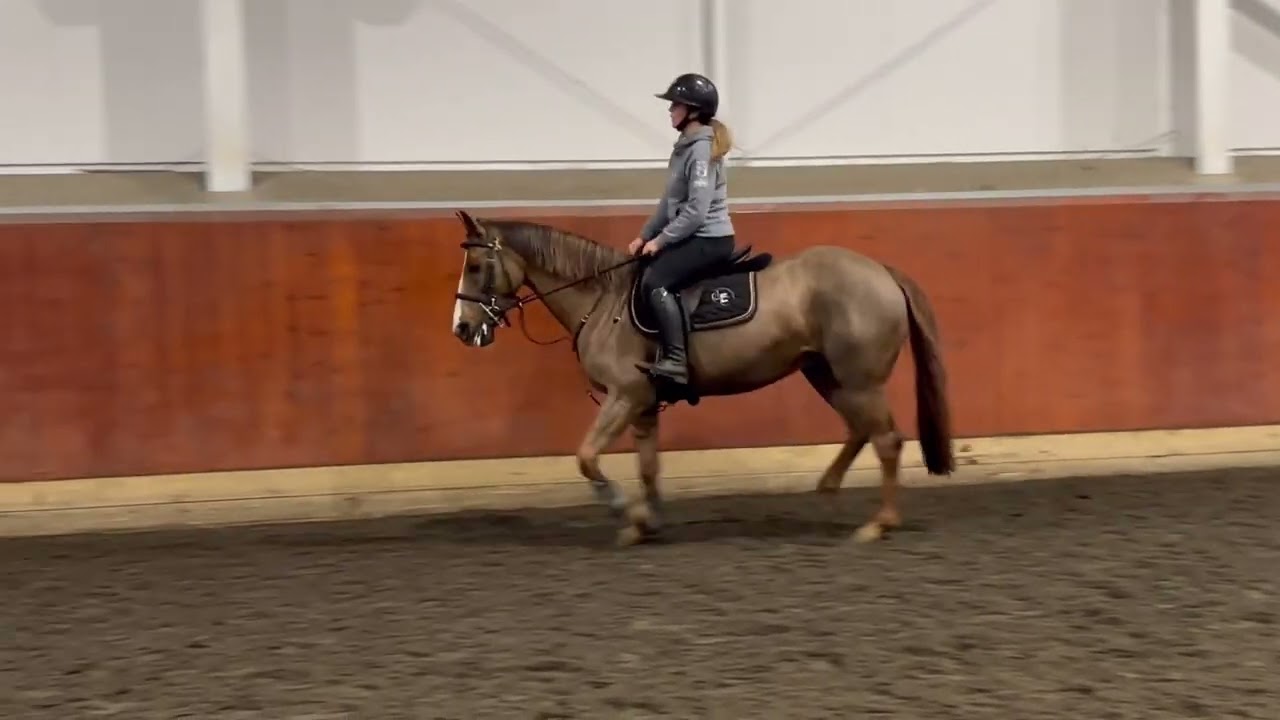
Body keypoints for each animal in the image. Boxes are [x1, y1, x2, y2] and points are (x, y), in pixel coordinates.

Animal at [449, 210, 955, 547]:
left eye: (475, 267)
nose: (463, 329)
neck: (604, 302)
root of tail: (881, 271)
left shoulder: (624, 396)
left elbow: (587, 457)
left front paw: (623, 512)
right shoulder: (643, 403)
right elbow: (648, 466)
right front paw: (647, 522)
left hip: (858, 379)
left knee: (886, 440)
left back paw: (879, 523)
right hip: (827, 375)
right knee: (860, 430)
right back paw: (830, 491)